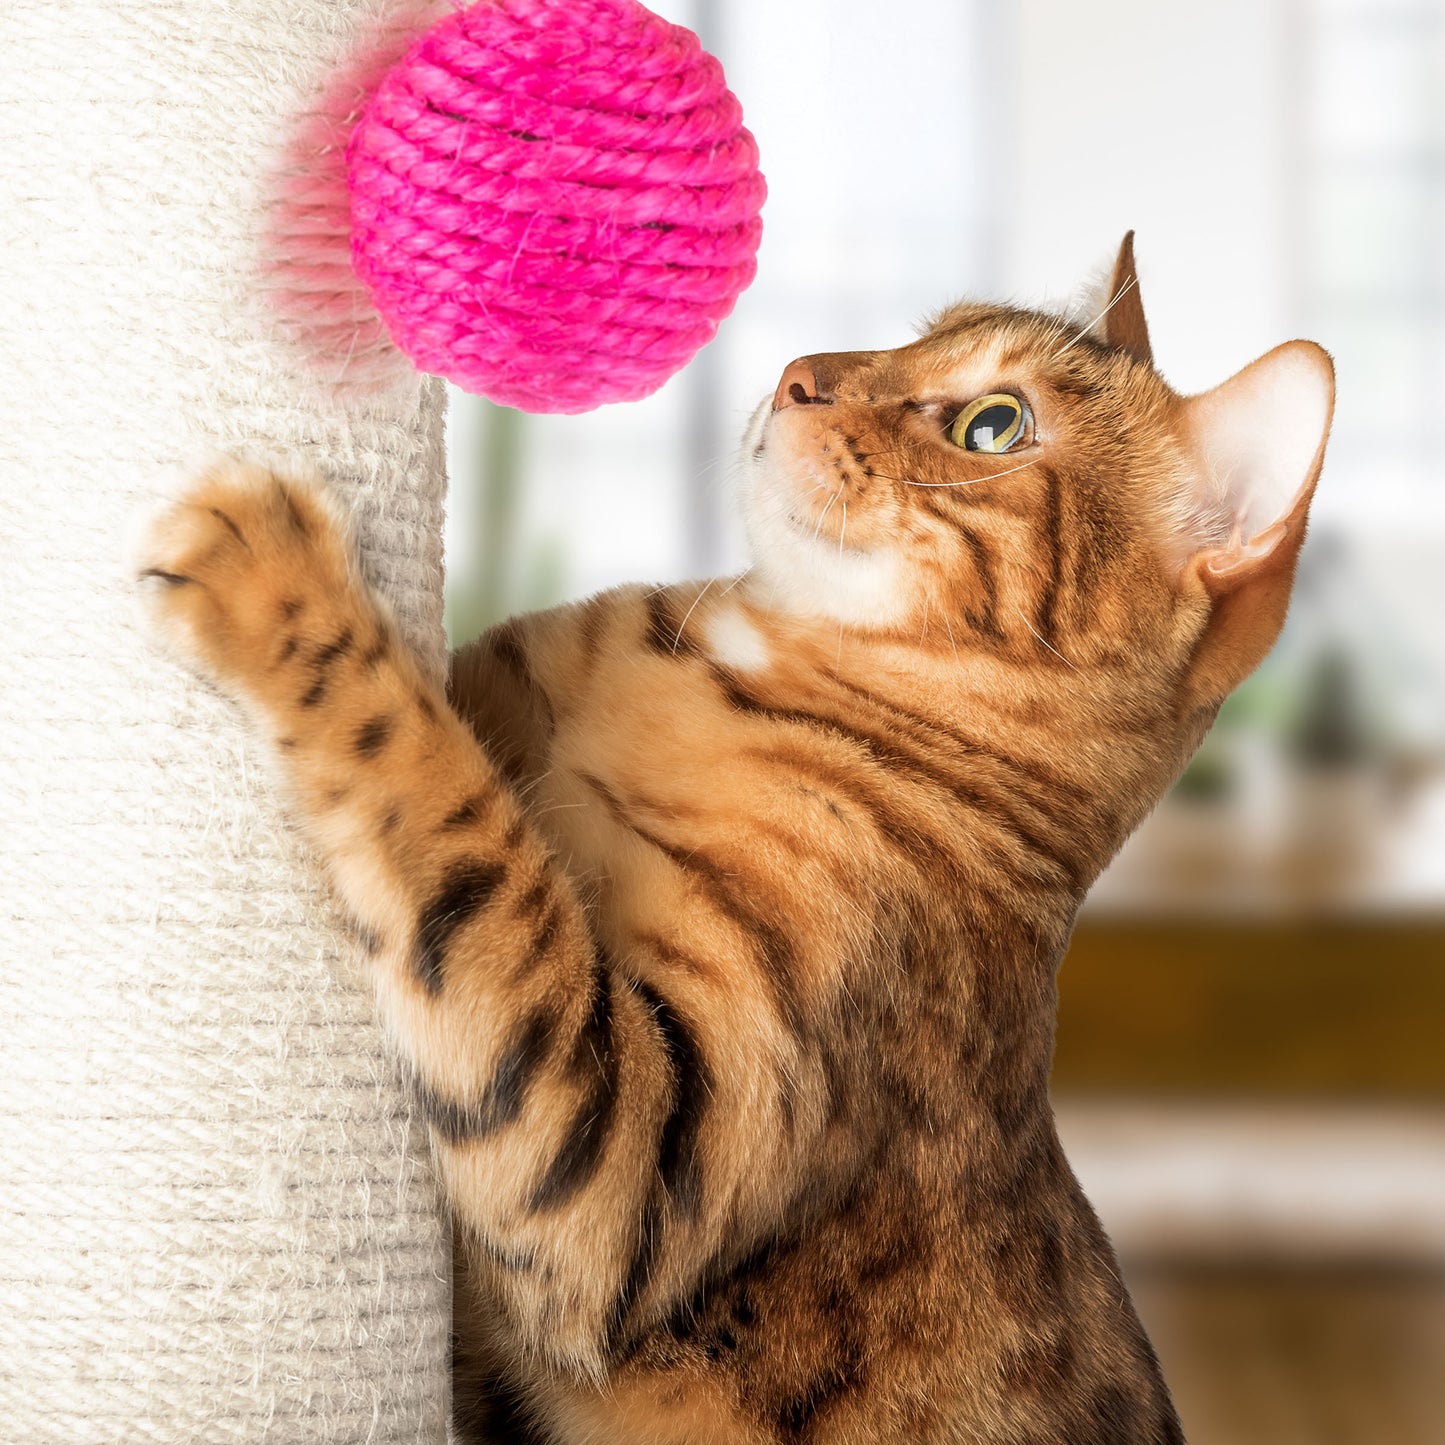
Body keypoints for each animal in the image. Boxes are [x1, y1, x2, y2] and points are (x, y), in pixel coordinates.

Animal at [140, 239, 1335, 1445]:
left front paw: (281, 578)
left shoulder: (626, 1161)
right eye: (914, 334)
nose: (803, 373)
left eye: (992, 424)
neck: (724, 663)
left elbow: (456, 814)